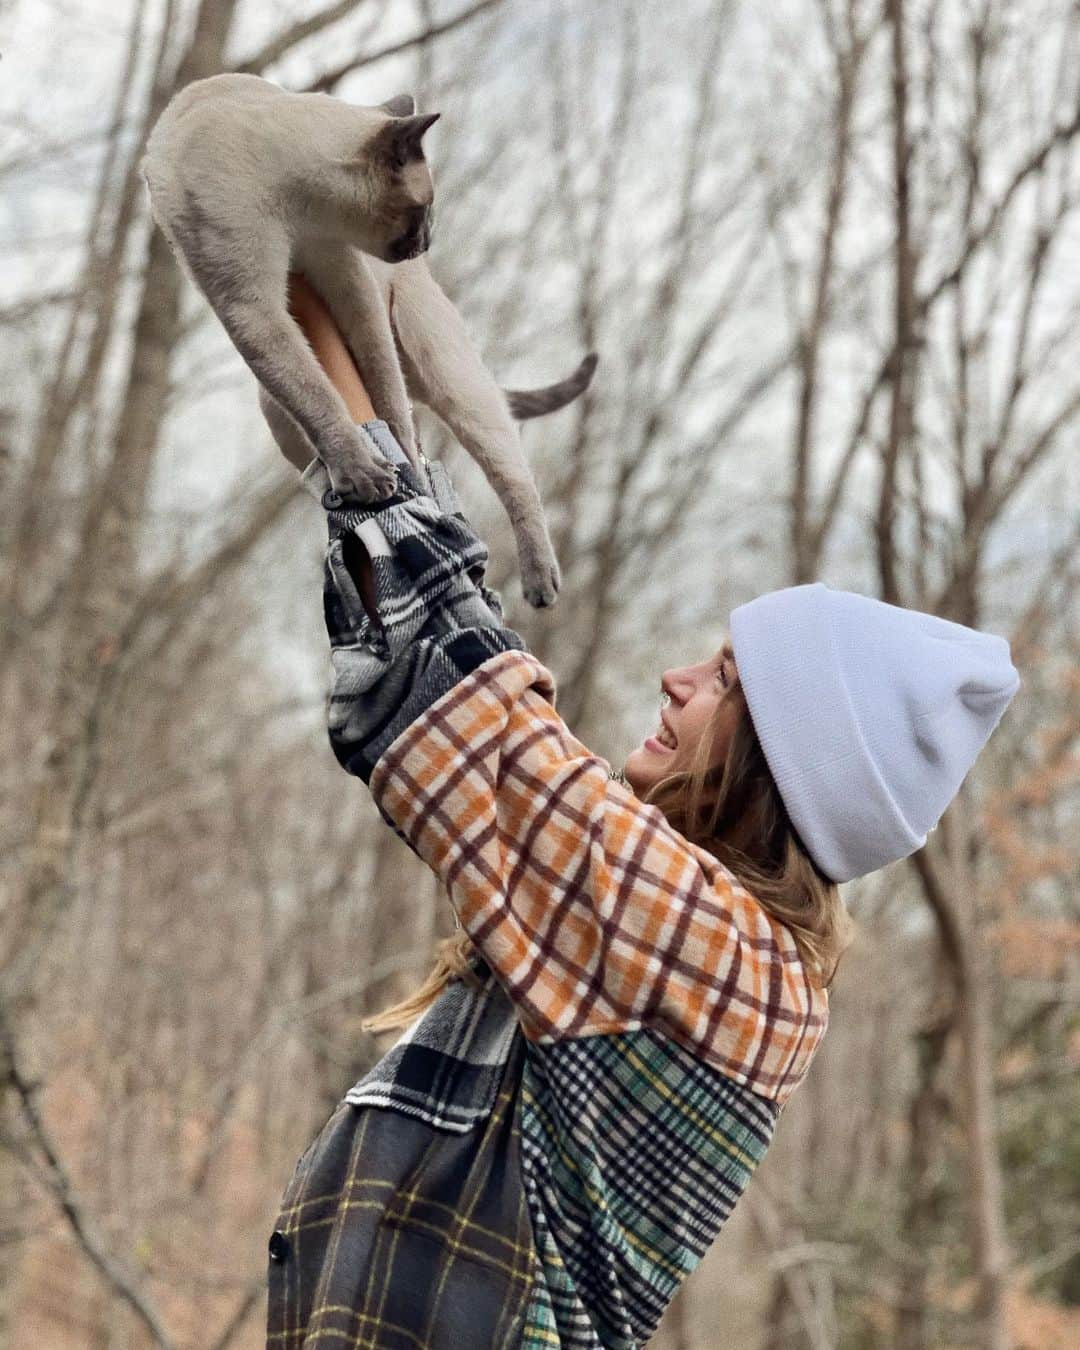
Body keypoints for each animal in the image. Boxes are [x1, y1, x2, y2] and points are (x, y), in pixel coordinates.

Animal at [139, 69, 594, 607]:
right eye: (426, 211)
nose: (427, 244)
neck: (298, 210)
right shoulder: (253, 309)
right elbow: (318, 398)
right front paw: (367, 476)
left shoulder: (350, 287)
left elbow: (389, 406)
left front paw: (403, 477)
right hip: (275, 410)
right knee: (316, 440)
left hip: (446, 374)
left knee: (509, 471)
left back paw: (539, 583)